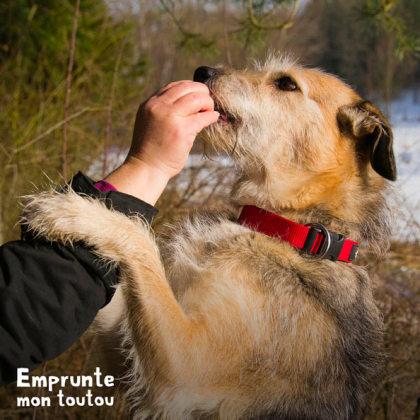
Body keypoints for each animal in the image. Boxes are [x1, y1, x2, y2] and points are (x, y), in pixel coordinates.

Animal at [22, 55, 398, 420]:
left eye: (286, 83)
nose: (202, 71)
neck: (293, 230)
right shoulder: (124, 355)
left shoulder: (184, 368)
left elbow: (139, 240)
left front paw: (71, 211)